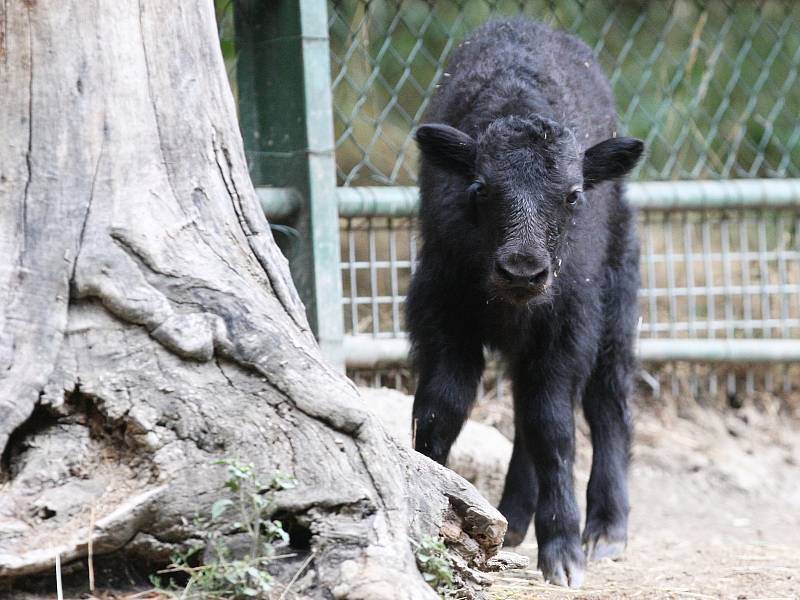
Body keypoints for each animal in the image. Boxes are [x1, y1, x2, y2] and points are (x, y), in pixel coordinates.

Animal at [406, 17, 644, 584]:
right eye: (479, 188)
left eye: (574, 195)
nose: (522, 271)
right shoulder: (442, 316)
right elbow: (441, 408)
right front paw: (439, 498)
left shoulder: (565, 331)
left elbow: (553, 428)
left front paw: (562, 552)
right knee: (522, 411)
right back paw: (513, 518)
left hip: (617, 303)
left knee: (607, 400)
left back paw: (606, 528)